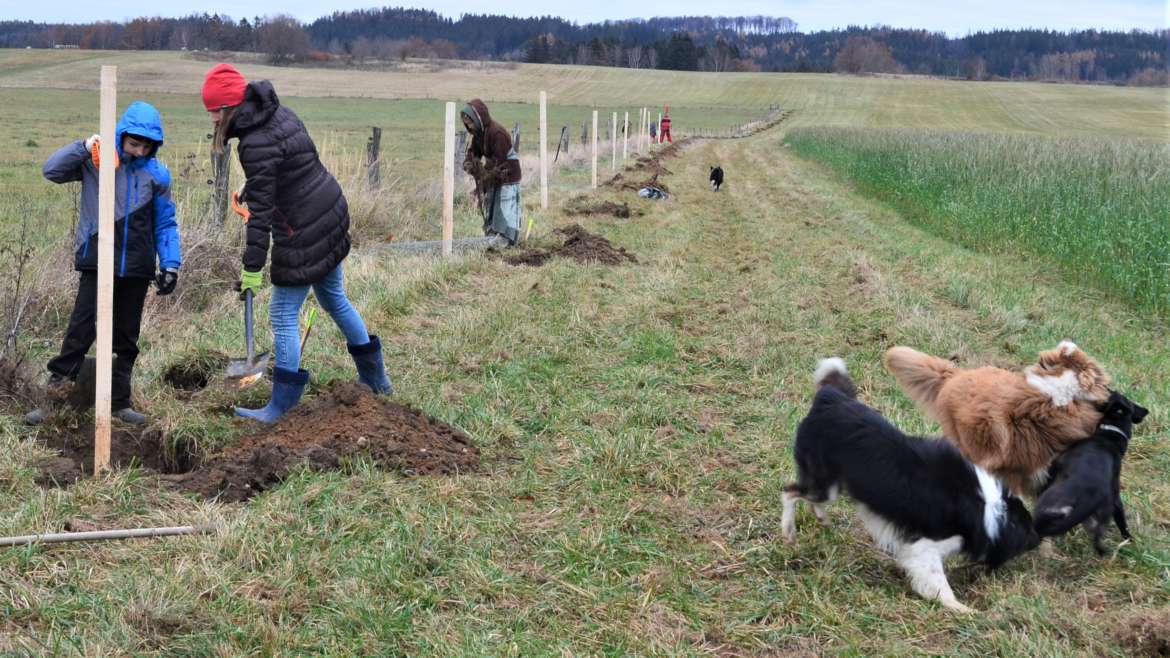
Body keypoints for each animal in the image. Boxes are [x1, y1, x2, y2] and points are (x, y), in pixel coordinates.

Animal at [781, 358, 1038, 608]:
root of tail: (831, 399)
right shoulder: (925, 546)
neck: (988, 508)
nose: (1039, 538)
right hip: (824, 484)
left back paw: (821, 518)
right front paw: (963, 610)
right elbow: (938, 584)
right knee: (788, 492)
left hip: (831, 486)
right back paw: (788, 531)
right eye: (1027, 534)